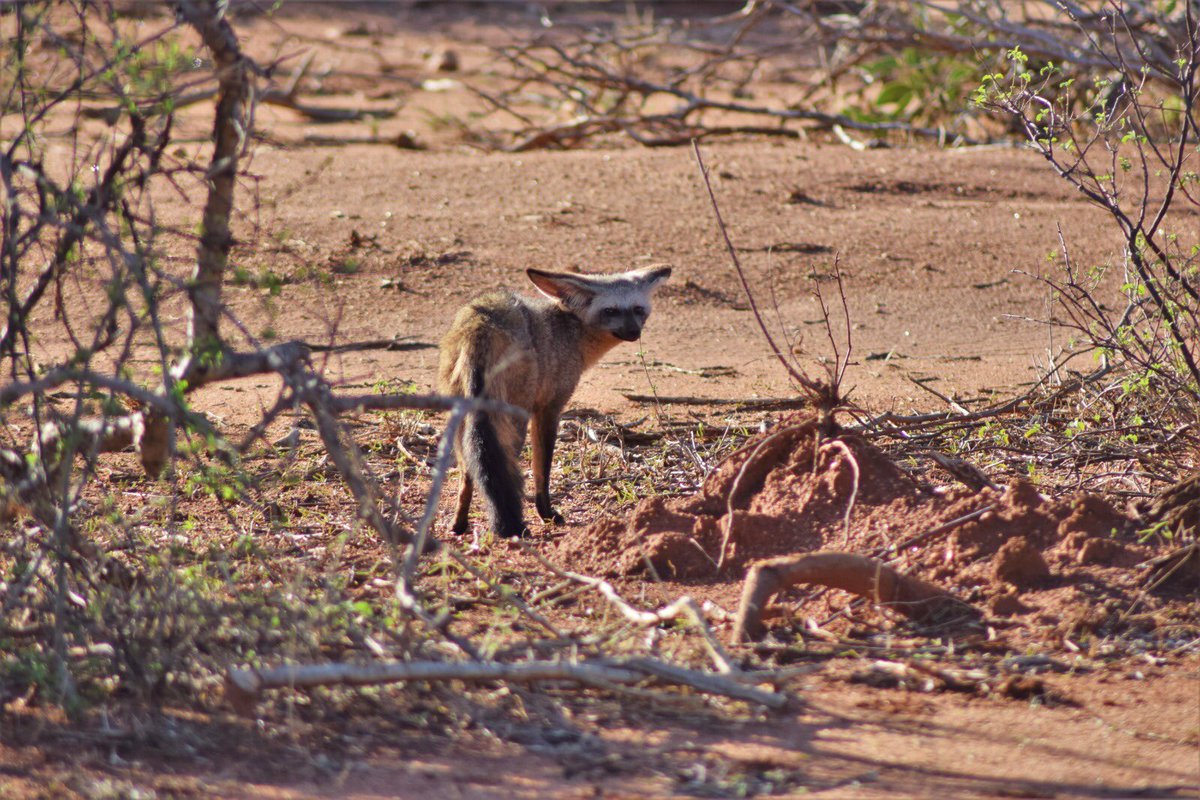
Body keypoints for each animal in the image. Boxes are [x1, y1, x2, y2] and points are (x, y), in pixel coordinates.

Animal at [437, 265, 672, 539]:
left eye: (638, 309)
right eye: (610, 310)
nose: (635, 332)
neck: (570, 330)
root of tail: (480, 321)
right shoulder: (549, 408)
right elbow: (543, 470)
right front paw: (546, 513)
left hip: (463, 419)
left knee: (468, 473)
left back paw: (459, 524)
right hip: (512, 420)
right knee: (502, 467)